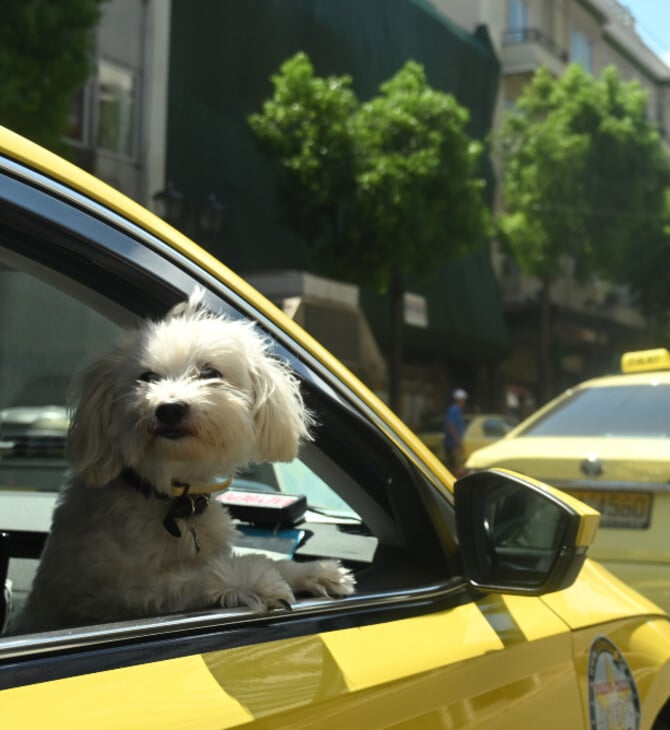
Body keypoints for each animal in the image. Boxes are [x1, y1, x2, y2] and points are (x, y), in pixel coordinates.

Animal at [11, 290, 356, 632]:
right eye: (147, 377)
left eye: (210, 373)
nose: (169, 408)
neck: (173, 496)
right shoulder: (117, 593)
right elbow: (198, 575)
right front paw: (257, 580)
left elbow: (271, 559)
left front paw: (316, 571)